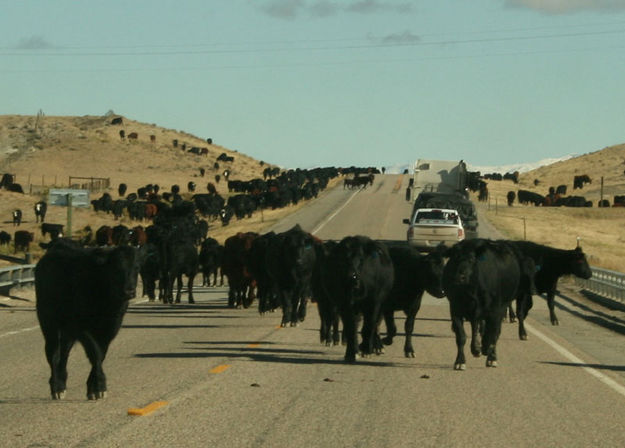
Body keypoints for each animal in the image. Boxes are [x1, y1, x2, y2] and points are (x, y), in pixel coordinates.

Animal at [34, 242, 139, 400]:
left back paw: (62, 383)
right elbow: (95, 353)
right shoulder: (82, 328)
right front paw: (99, 387)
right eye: (116, 269)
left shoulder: (110, 329)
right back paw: (57, 388)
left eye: (136, 268)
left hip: (67, 332)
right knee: (53, 354)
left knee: (64, 354)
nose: (129, 291)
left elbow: (100, 354)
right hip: (49, 324)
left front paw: (93, 388)